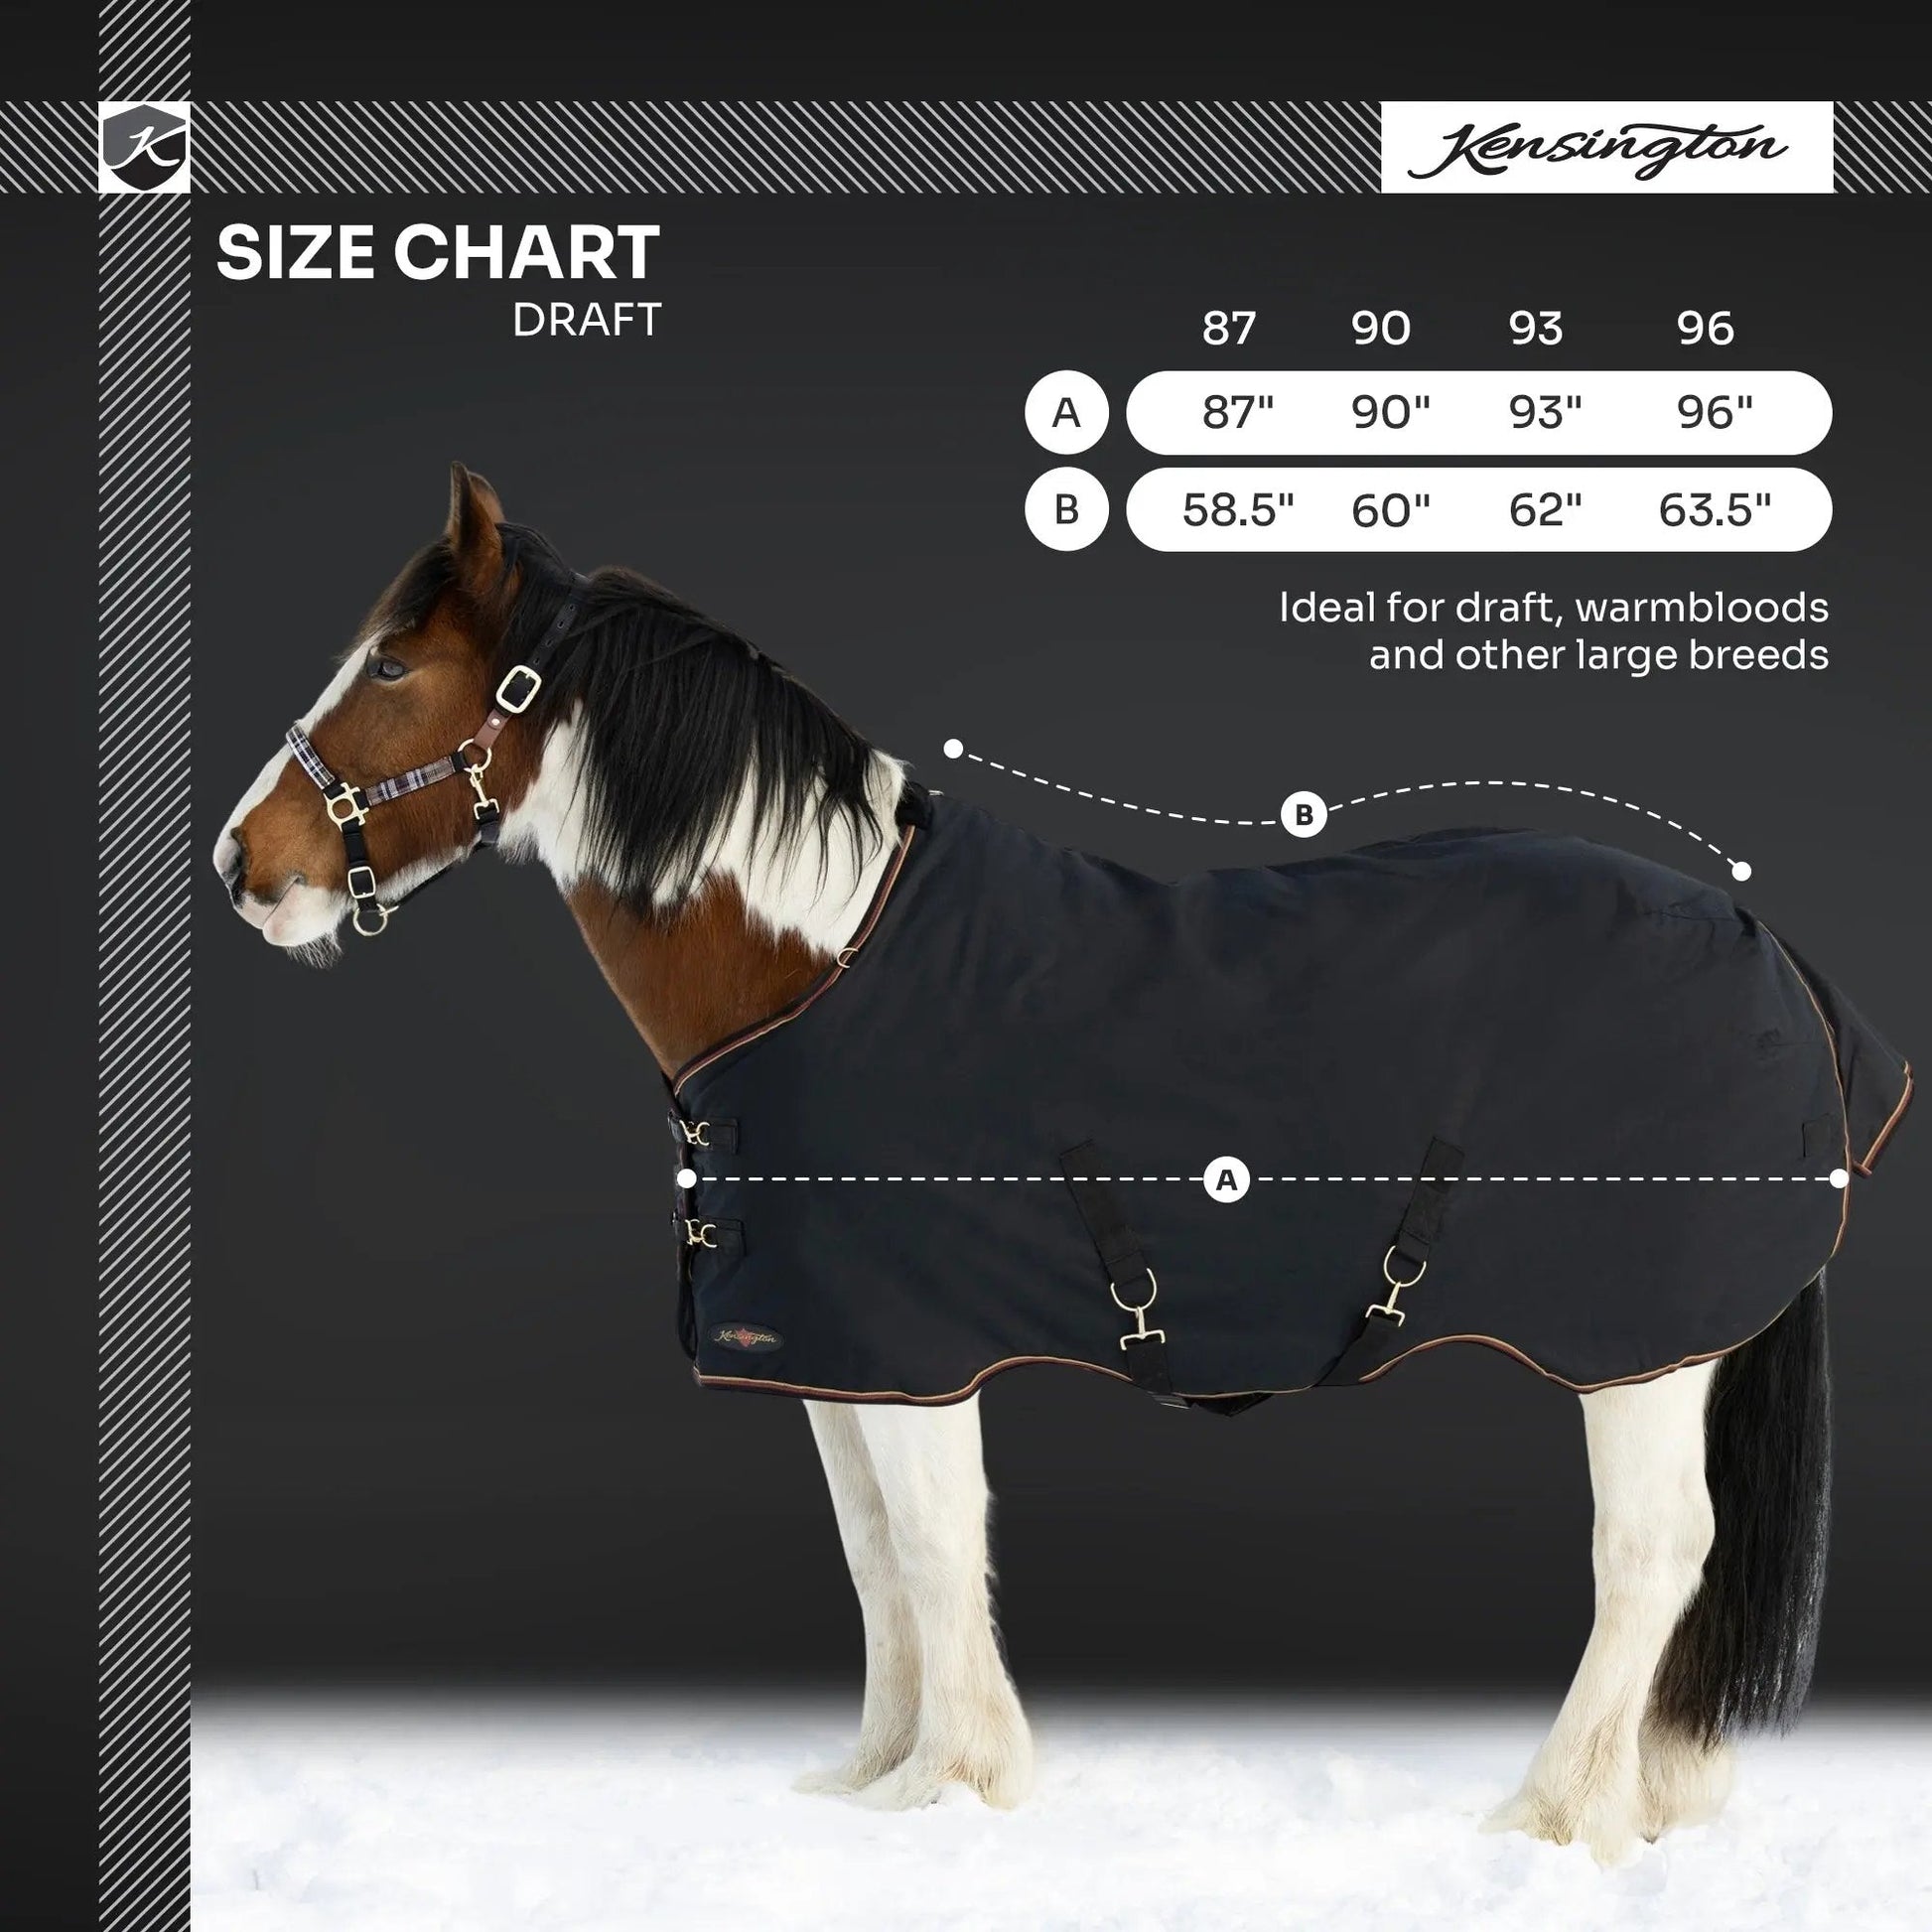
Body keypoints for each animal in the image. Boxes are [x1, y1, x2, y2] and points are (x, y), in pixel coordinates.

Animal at [214, 464, 1906, 1863]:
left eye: (388, 665)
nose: (243, 867)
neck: (821, 961)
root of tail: (1764, 943)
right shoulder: (838, 1352)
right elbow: (873, 1554)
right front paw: (872, 1773)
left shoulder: (915, 1351)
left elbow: (930, 1540)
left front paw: (952, 1784)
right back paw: (1640, 1798)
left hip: (1636, 1350)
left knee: (1653, 1552)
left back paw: (1550, 1814)